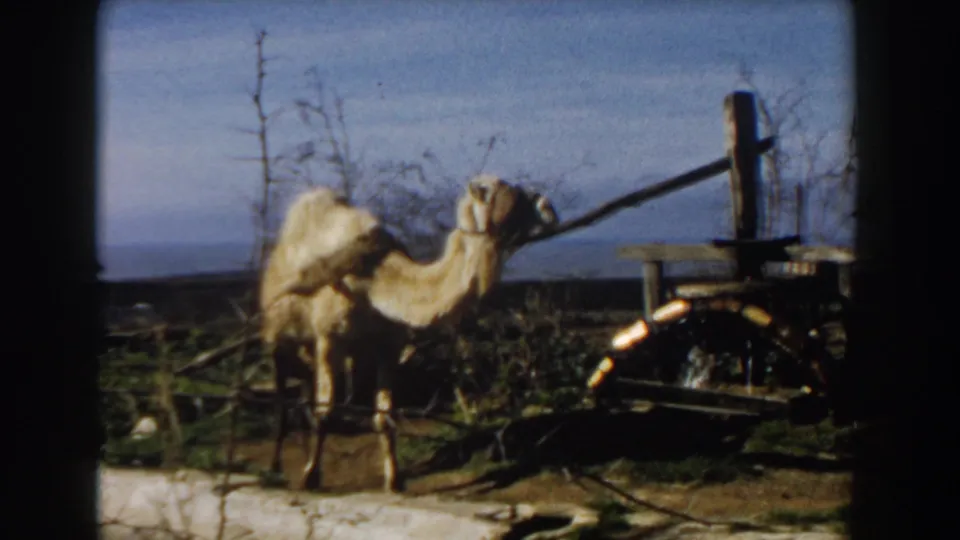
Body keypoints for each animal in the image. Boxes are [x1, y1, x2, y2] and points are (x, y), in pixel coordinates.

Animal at [259, 174, 559, 492]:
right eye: (514, 197)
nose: (549, 208)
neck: (375, 280)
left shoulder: (388, 344)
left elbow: (385, 417)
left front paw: (394, 480)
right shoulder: (330, 337)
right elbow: (325, 412)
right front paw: (310, 478)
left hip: (311, 347)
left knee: (304, 390)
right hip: (278, 334)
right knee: (282, 400)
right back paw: (276, 466)